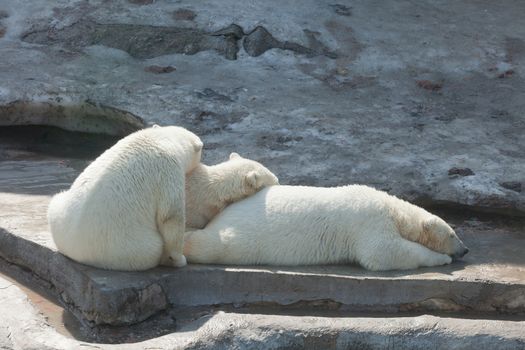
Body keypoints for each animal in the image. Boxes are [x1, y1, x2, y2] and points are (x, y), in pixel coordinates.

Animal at [48, 126, 203, 270]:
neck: (161, 138)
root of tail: (75, 249)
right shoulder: (168, 168)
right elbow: (171, 216)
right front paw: (178, 259)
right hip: (132, 248)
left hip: (59, 215)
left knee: (57, 199)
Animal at [184, 185, 466, 272]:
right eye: (453, 233)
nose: (465, 250)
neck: (394, 211)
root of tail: (222, 216)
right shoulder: (370, 223)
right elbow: (382, 252)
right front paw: (442, 258)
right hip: (238, 239)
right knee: (212, 245)